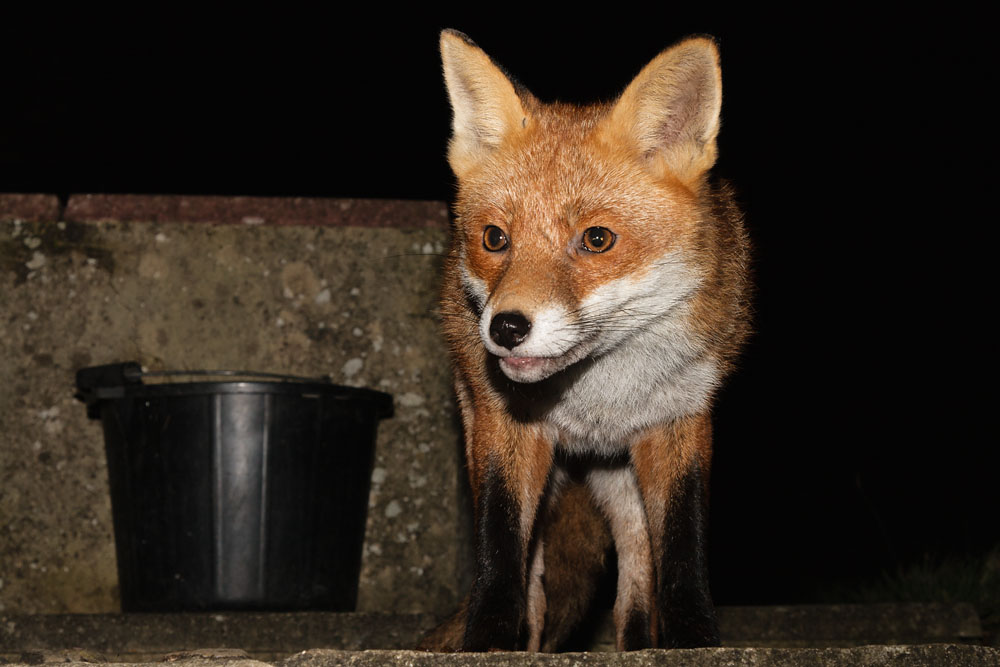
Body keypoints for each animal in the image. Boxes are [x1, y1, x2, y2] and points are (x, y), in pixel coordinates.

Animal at [424, 29, 750, 652]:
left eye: (597, 239)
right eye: (494, 238)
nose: (505, 328)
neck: (598, 397)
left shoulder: (680, 420)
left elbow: (681, 548)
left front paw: (694, 638)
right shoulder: (505, 425)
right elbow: (501, 552)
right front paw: (489, 641)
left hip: (621, 476)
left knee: (636, 570)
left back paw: (638, 642)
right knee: (536, 580)